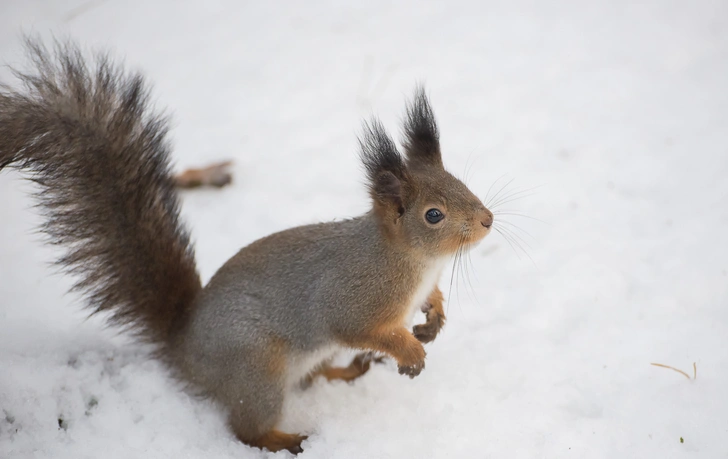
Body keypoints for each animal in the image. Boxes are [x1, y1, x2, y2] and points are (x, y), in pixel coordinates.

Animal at [0, 40, 494, 456]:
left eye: (460, 182)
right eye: (434, 215)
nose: (488, 221)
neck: (417, 261)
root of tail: (185, 348)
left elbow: (431, 303)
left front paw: (434, 319)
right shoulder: (354, 296)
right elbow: (361, 328)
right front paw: (410, 350)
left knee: (312, 378)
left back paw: (344, 372)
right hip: (258, 368)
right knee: (245, 428)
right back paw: (285, 439)